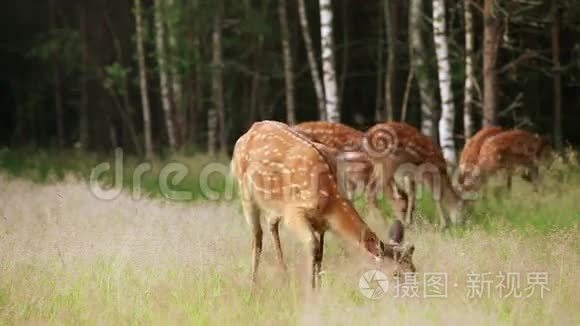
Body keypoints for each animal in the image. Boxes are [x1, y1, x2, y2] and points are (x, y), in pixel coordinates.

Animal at [229, 121, 414, 290]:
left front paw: (319, 287)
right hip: (245, 192)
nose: (412, 291)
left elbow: (321, 253)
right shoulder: (294, 212)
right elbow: (312, 245)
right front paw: (311, 290)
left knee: (271, 225)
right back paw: (253, 284)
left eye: (414, 269)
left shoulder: (322, 224)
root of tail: (250, 130)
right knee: (257, 237)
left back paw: (284, 275)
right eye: (396, 273)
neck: (329, 200)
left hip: (275, 205)